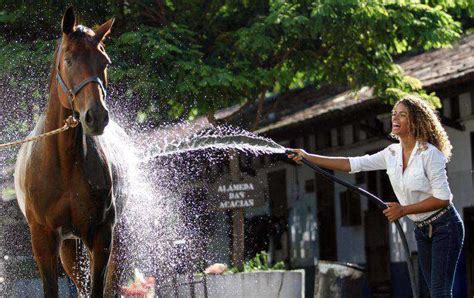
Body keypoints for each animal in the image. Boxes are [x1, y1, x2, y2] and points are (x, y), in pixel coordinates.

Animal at [14, 7, 123, 298]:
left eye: (105, 62)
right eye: (69, 60)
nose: (96, 116)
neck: (65, 163)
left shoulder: (102, 235)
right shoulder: (44, 239)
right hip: (68, 248)